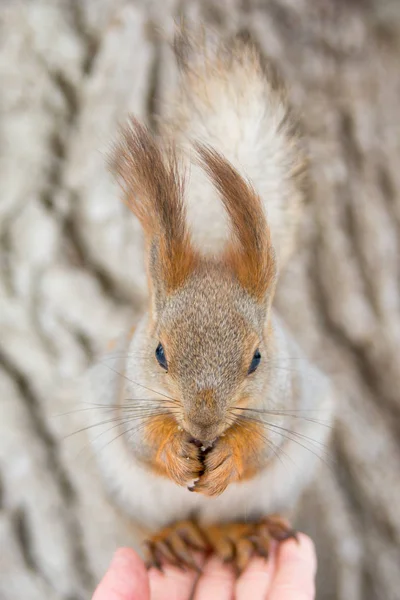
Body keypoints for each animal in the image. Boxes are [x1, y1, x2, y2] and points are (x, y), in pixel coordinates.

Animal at [83, 30, 332, 576]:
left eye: (257, 358)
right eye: (158, 352)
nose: (201, 425)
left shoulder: (285, 397)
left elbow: (261, 444)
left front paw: (227, 459)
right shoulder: (125, 386)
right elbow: (141, 434)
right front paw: (175, 450)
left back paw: (240, 534)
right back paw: (173, 537)